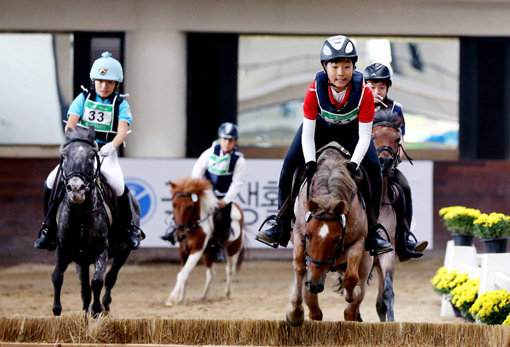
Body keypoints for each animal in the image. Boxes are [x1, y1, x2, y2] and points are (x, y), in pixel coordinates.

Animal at [51, 126, 137, 316]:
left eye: (92, 156)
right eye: (64, 155)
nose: (76, 189)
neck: (81, 213)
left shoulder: (101, 251)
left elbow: (97, 281)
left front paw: (96, 309)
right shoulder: (64, 249)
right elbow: (57, 276)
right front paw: (57, 309)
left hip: (124, 251)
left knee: (110, 277)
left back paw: (104, 305)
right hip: (81, 260)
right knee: (84, 286)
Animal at [163, 178, 243, 306]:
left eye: (190, 206)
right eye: (173, 204)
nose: (180, 234)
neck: (193, 227)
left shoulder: (197, 250)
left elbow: (182, 274)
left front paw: (172, 298)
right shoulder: (183, 252)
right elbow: (185, 274)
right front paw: (181, 299)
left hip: (234, 248)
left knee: (230, 270)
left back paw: (227, 293)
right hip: (208, 253)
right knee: (211, 273)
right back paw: (204, 296)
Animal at [286, 145, 374, 326]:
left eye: (337, 239)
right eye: (308, 236)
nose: (314, 285)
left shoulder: (358, 241)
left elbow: (350, 278)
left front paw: (352, 292)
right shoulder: (298, 234)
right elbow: (299, 266)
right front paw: (295, 313)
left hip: (366, 261)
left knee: (351, 309)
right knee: (315, 310)